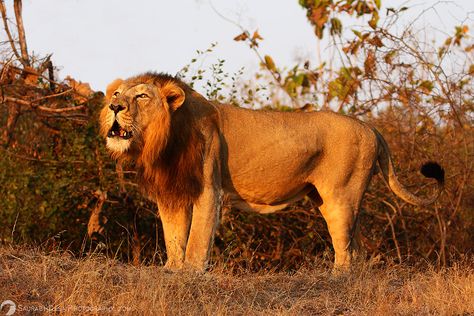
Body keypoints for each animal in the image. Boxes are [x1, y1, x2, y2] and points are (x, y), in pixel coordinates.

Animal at [99, 72, 444, 272]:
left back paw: (336, 279)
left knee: (345, 249)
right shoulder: (172, 192)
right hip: (329, 199)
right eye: (116, 95)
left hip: (340, 197)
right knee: (354, 248)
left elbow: (197, 239)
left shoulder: (209, 190)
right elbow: (173, 236)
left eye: (141, 96)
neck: (164, 139)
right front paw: (172, 271)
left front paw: (191, 275)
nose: (114, 107)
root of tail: (371, 127)